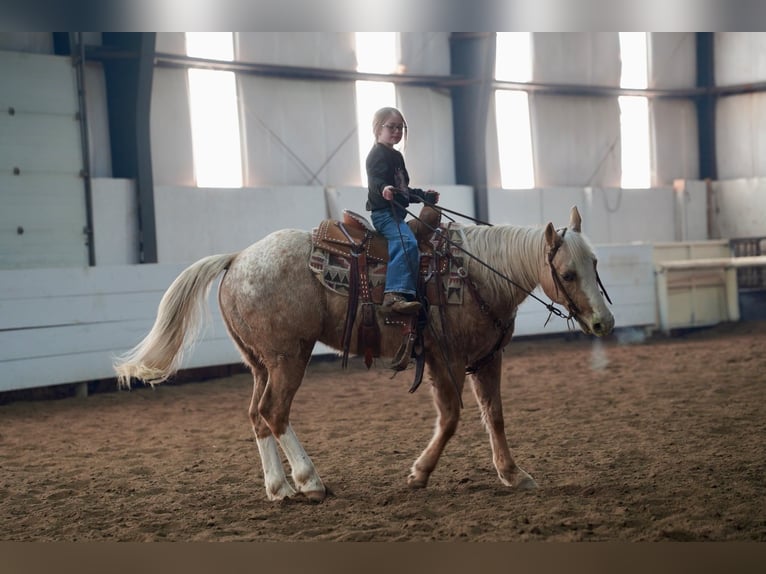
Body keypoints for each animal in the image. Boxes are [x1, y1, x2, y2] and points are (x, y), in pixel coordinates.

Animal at [115, 205, 616, 502]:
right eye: (567, 274)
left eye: (594, 263)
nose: (603, 323)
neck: (476, 274)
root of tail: (236, 258)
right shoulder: (445, 361)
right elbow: (451, 419)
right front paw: (419, 473)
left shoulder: (487, 359)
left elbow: (494, 416)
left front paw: (513, 474)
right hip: (288, 358)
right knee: (275, 413)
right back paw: (309, 482)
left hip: (260, 363)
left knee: (257, 415)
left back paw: (279, 488)